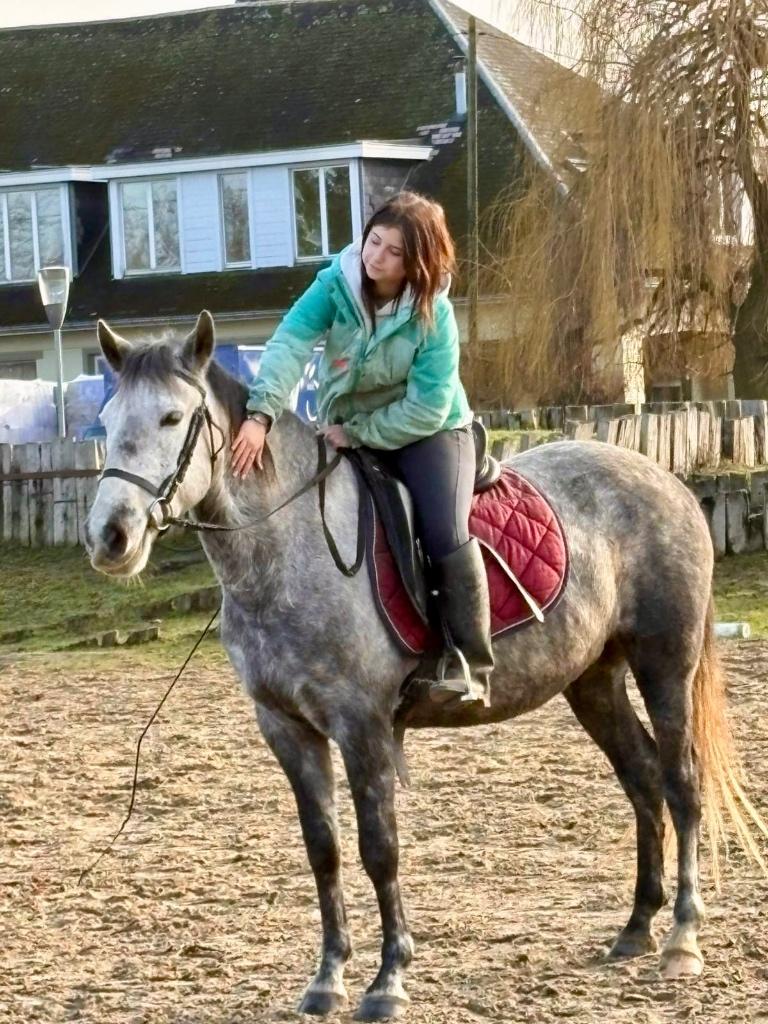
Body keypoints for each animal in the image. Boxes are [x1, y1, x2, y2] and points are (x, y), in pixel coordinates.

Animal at [85, 311, 765, 1022]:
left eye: (170, 418)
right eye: (107, 420)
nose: (110, 536)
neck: (288, 545)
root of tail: (664, 479)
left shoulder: (362, 727)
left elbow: (379, 850)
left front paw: (388, 980)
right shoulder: (287, 729)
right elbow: (324, 851)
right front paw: (328, 978)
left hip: (665, 665)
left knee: (682, 783)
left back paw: (682, 939)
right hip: (593, 680)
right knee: (642, 779)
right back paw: (636, 928)